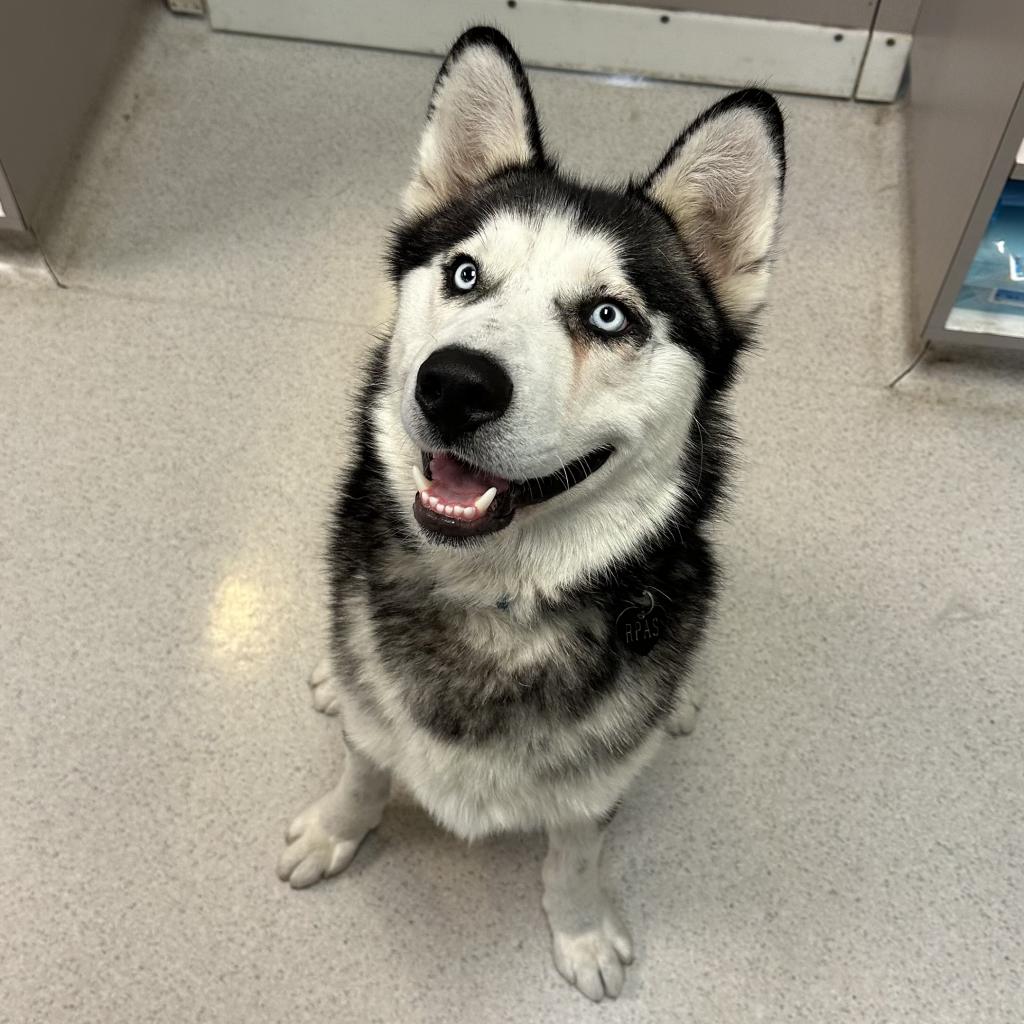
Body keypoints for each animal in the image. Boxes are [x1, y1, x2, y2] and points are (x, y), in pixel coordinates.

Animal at [278, 28, 782, 1003]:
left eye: (608, 315)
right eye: (465, 273)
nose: (454, 384)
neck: (497, 602)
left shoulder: (594, 790)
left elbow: (576, 856)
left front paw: (581, 932)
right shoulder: (373, 727)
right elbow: (364, 771)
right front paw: (334, 829)